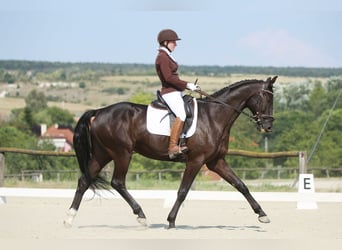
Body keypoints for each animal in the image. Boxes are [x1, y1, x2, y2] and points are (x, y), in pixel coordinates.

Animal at [63, 75, 278, 229]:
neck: (214, 117)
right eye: (267, 98)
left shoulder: (216, 161)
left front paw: (263, 215)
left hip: (103, 154)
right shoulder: (196, 160)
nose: (268, 126)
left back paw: (69, 219)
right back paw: (141, 216)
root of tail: (99, 111)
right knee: (117, 182)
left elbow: (241, 185)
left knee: (84, 180)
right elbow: (183, 191)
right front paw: (171, 221)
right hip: (122, 153)